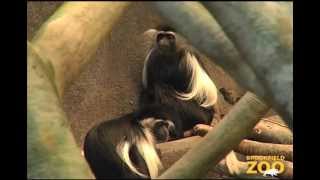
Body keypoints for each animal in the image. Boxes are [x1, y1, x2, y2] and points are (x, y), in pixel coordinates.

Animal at [84, 26, 219, 179]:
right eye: (161, 36)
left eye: (169, 37)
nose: (163, 41)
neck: (168, 57)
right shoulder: (153, 58)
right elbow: (147, 90)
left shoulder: (187, 58)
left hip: (200, 114)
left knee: (165, 92)